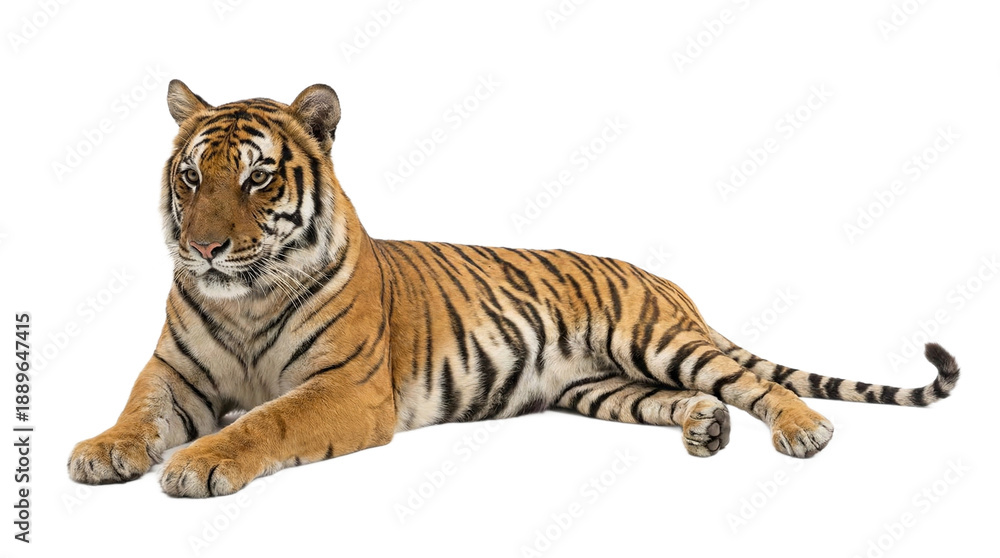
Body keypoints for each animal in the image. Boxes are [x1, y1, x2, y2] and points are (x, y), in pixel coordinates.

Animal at [67, 81, 961, 498]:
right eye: (191, 177)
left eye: (256, 178)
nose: (204, 247)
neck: (245, 297)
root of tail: (663, 278)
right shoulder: (174, 371)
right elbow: (138, 409)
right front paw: (101, 450)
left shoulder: (345, 389)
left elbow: (265, 421)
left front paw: (199, 460)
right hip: (603, 387)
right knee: (692, 399)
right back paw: (705, 430)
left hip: (656, 340)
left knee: (752, 382)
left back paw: (804, 431)